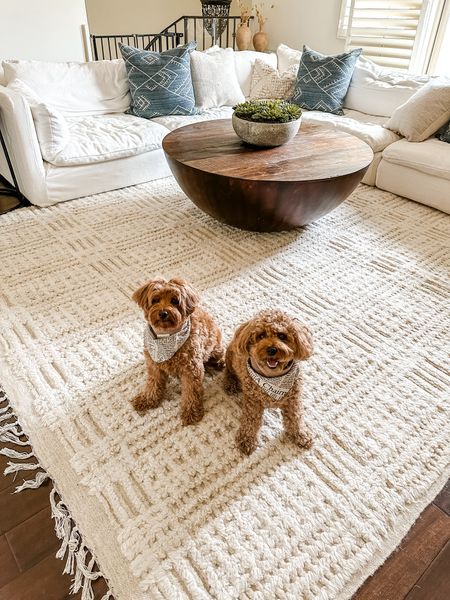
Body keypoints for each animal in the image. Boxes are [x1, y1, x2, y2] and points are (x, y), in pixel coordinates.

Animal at [133, 278, 225, 424]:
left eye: (175, 301)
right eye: (155, 300)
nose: (163, 313)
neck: (166, 336)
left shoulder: (191, 370)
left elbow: (190, 391)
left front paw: (191, 412)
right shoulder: (154, 366)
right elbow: (153, 384)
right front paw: (147, 400)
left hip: (215, 348)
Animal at [224, 310, 312, 454]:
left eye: (282, 335)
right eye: (261, 336)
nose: (271, 349)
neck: (273, 377)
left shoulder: (292, 401)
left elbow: (296, 419)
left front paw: (301, 435)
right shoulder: (253, 403)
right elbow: (250, 422)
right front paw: (247, 440)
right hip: (230, 358)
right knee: (228, 371)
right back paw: (230, 383)